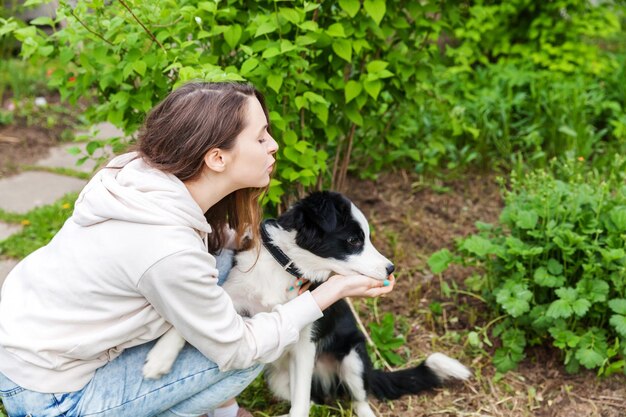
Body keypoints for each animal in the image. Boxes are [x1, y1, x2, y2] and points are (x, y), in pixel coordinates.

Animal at [144, 192, 468, 416]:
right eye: (354, 240)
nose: (391, 268)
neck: (288, 267)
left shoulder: (305, 341)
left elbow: (302, 402)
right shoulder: (234, 297)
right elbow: (190, 321)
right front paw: (161, 357)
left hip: (352, 359)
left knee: (359, 399)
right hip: (278, 378)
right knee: (313, 398)